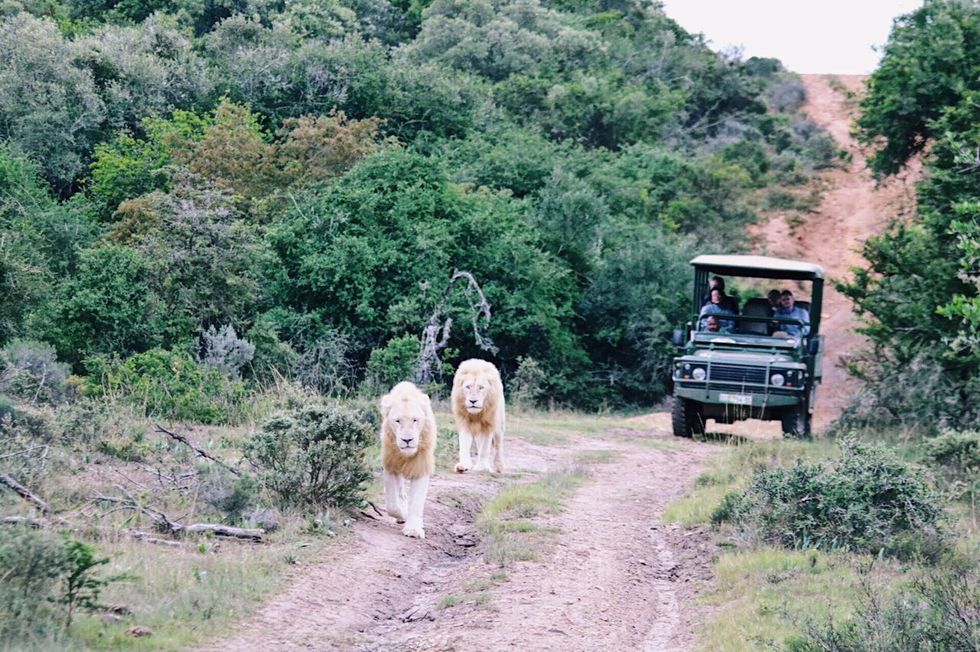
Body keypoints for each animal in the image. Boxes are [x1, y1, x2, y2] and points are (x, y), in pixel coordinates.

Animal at [378, 380, 436, 536]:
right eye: (397, 421)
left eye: (415, 420)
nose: (407, 440)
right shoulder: (391, 465)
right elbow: (392, 505)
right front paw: (403, 514)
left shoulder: (421, 466)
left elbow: (416, 502)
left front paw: (414, 530)